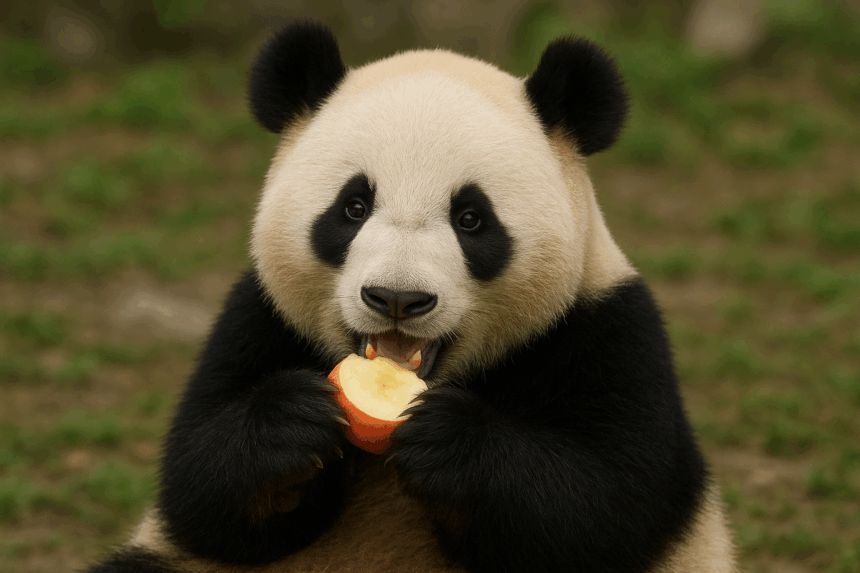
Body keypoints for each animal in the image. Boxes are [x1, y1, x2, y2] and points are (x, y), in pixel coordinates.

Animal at [88, 21, 736, 573]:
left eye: (471, 219)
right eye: (353, 207)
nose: (397, 298)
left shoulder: (606, 329)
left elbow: (604, 501)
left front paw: (448, 440)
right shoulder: (258, 316)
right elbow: (200, 487)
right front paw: (291, 420)